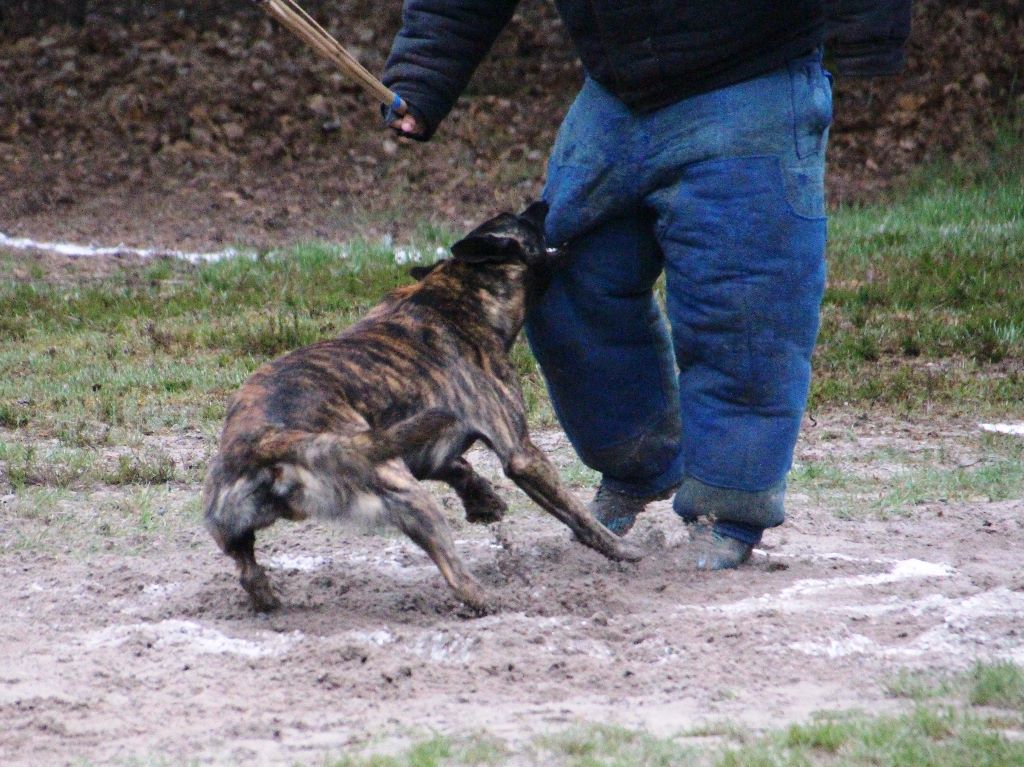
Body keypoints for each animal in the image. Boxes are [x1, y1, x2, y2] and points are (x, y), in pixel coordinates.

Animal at [203, 201, 643, 610]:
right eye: (520, 219)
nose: (541, 203)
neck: (460, 292)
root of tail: (266, 440)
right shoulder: (521, 453)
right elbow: (575, 513)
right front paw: (619, 549)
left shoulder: (429, 448)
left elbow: (460, 468)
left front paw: (484, 502)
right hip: (409, 496)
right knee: (456, 575)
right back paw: (491, 601)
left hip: (236, 528)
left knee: (247, 572)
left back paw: (268, 599)